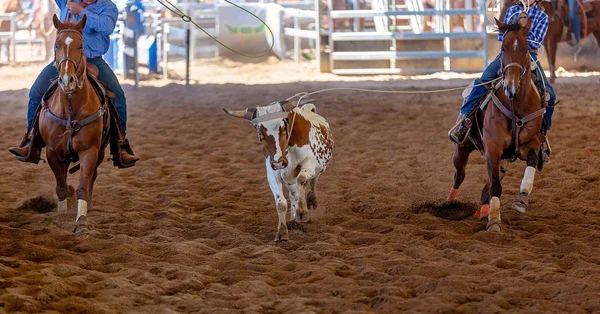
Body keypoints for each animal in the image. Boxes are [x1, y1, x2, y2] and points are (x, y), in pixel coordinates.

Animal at [40, 15, 108, 234]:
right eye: (56, 45)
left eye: (81, 46)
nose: (67, 79)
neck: (70, 108)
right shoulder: (53, 152)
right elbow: (61, 186)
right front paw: (61, 216)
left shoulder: (89, 151)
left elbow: (83, 186)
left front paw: (82, 221)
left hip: (100, 152)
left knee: (93, 177)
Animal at [223, 100, 332, 240]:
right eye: (260, 133)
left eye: (283, 128)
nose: (279, 163)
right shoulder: (272, 173)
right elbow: (281, 203)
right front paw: (282, 231)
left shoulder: (309, 162)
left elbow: (302, 178)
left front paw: (302, 212)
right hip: (289, 180)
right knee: (293, 194)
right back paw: (293, 221)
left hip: (319, 168)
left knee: (312, 182)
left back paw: (310, 201)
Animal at [448, 14, 548, 232]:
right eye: (503, 48)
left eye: (526, 48)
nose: (511, 87)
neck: (515, 105)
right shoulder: (493, 148)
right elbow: (495, 185)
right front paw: (494, 221)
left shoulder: (531, 143)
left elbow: (531, 162)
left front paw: (521, 199)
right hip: (462, 148)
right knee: (459, 174)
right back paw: (450, 204)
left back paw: (483, 208)